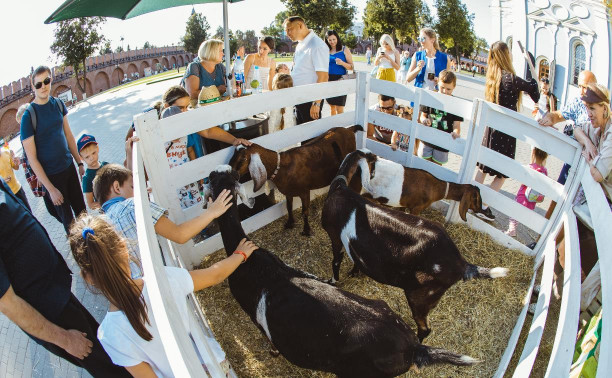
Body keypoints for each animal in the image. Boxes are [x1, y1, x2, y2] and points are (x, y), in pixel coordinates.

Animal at [230, 125, 364, 235]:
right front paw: (290, 223)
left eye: (243, 159)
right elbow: (289, 207)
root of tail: (349, 129)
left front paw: (306, 230)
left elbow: (305, 211)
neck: (281, 167)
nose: (231, 172)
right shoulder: (288, 192)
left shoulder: (304, 192)